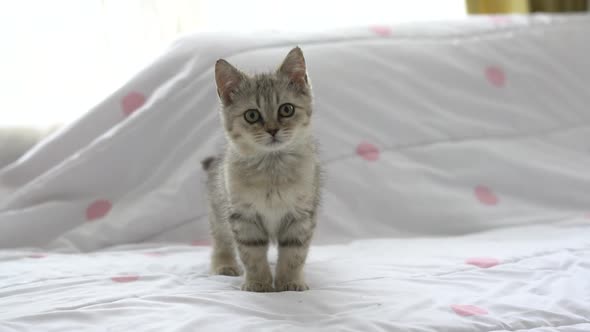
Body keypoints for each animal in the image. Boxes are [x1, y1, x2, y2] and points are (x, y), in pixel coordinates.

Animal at [204, 48, 324, 292]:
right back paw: (224, 265)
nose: (272, 130)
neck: (272, 170)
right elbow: (252, 254)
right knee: (221, 241)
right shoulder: (243, 218)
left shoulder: (301, 216)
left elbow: (293, 254)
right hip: (218, 211)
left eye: (286, 109)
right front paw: (258, 283)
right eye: (252, 115)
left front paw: (289, 282)